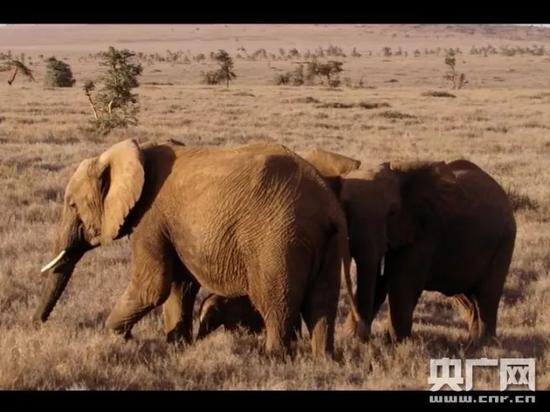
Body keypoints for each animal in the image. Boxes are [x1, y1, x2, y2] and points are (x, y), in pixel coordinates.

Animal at [33, 139, 362, 358]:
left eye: (72, 205)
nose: (37, 326)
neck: (135, 150)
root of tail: (330, 208)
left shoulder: (150, 218)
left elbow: (152, 287)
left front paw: (112, 337)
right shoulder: (171, 226)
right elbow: (180, 286)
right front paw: (176, 345)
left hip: (277, 240)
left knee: (275, 303)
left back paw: (273, 358)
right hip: (324, 242)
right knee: (321, 304)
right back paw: (321, 361)